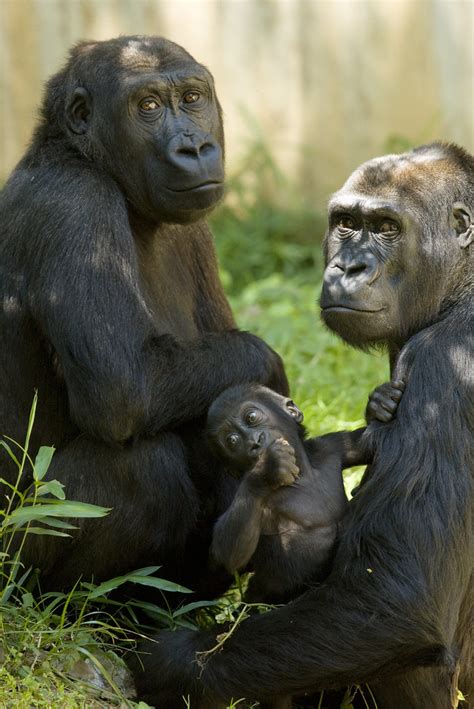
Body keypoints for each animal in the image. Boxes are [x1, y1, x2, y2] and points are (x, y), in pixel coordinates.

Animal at [0, 37, 286, 592]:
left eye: (192, 98)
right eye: (148, 106)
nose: (193, 148)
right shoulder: (74, 204)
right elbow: (123, 387)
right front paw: (268, 364)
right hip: (13, 556)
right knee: (143, 465)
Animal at [206, 382, 400, 604]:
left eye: (252, 417)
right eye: (232, 441)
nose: (255, 443)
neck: (303, 473)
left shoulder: (330, 446)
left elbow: (364, 444)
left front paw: (379, 402)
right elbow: (228, 553)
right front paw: (266, 468)